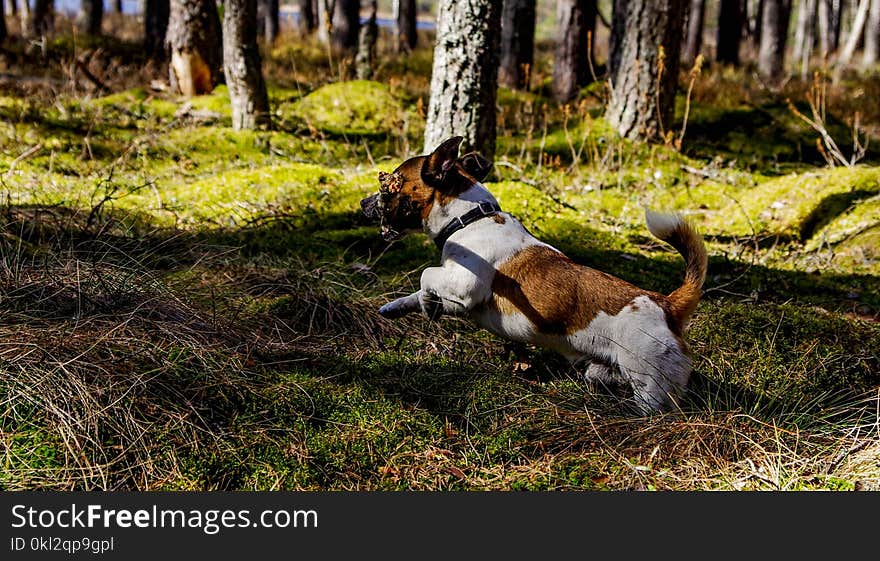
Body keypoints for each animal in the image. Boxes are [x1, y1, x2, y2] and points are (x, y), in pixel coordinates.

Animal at [360, 138, 712, 414]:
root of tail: (668, 305)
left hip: (650, 385)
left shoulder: (465, 285)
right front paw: (400, 307)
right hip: (601, 371)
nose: (363, 202)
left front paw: (426, 302)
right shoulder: (457, 297)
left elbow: (426, 276)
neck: (469, 219)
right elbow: (420, 291)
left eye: (388, 185)